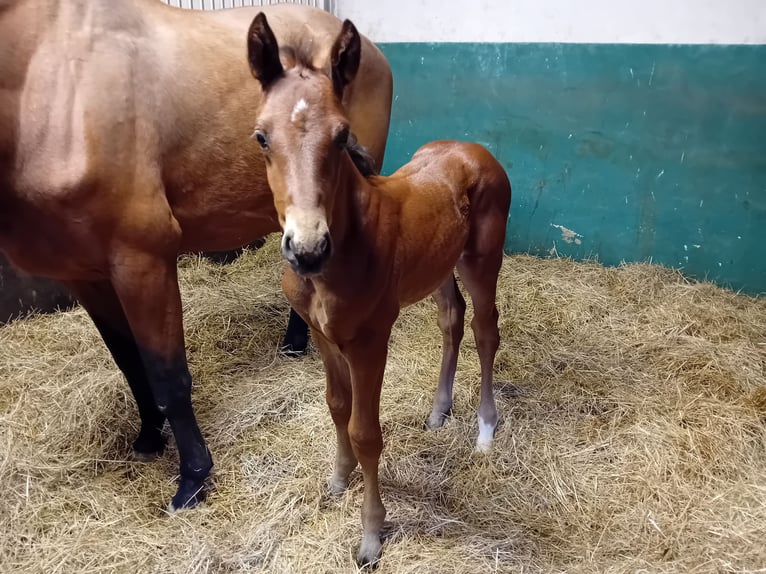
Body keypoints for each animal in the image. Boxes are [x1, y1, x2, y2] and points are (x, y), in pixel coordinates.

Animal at [0, 0, 392, 511]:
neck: (56, 80)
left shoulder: (143, 262)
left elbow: (169, 375)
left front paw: (192, 477)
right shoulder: (86, 275)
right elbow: (130, 361)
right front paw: (149, 437)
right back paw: (294, 341)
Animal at [246, 13, 512, 566]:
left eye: (342, 134)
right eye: (261, 137)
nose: (307, 248)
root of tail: (476, 150)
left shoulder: (370, 341)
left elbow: (366, 431)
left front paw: (371, 535)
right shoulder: (322, 335)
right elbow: (337, 407)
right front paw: (337, 479)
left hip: (482, 261)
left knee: (485, 329)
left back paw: (484, 430)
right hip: (438, 268)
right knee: (452, 319)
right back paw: (438, 411)